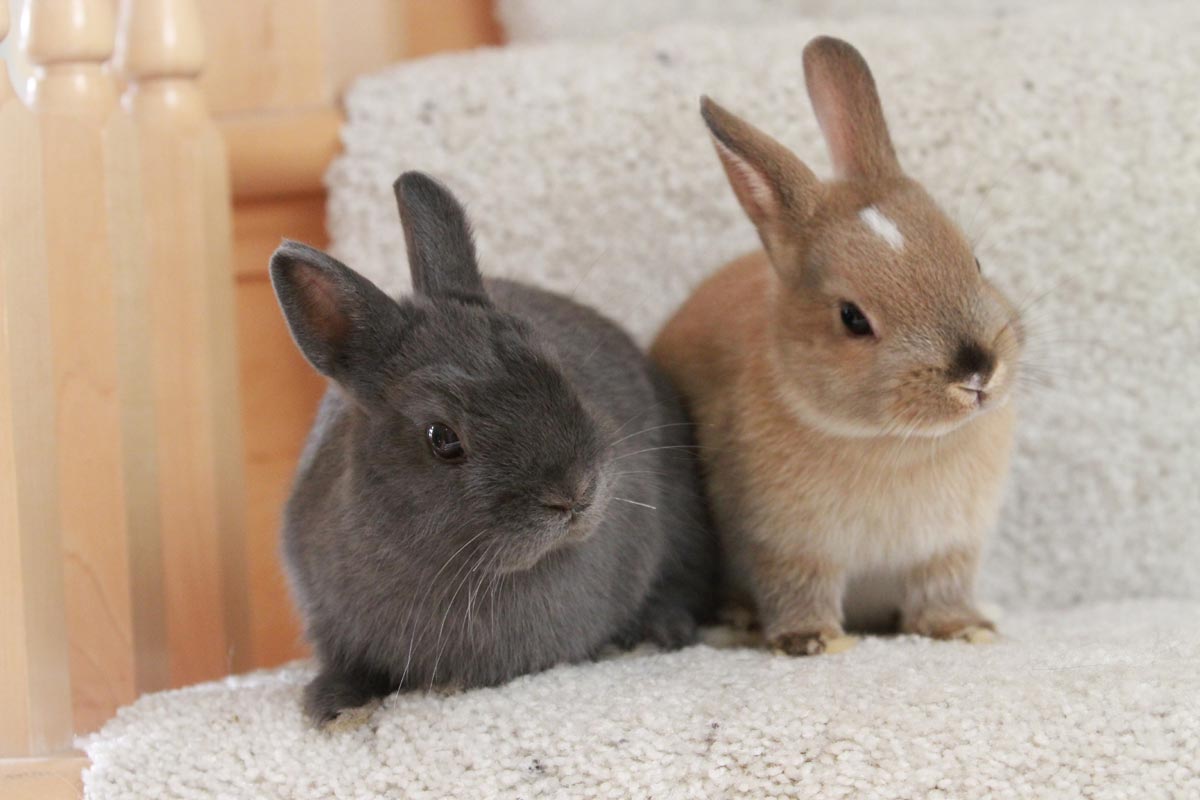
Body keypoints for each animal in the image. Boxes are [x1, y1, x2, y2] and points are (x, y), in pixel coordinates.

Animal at [657, 35, 1022, 657]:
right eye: (852, 319)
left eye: (974, 261)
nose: (976, 374)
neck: (894, 444)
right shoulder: (785, 545)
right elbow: (798, 589)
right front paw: (815, 642)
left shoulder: (946, 549)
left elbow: (941, 591)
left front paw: (965, 628)